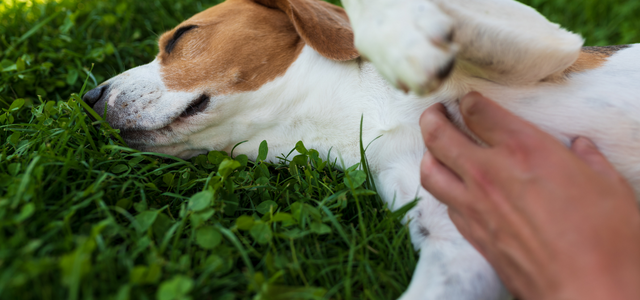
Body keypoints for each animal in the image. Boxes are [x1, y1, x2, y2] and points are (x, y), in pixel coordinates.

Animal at [82, 1, 640, 298]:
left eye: (181, 37)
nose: (89, 98)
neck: (359, 114)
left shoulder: (546, 40)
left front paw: (405, 42)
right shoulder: (461, 248)